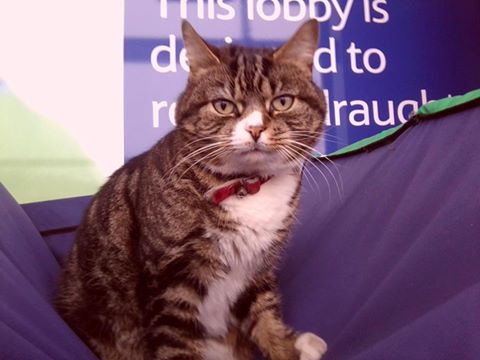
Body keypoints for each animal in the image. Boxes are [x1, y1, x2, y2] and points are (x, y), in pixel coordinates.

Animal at [54, 19, 328, 360]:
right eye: (223, 105)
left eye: (282, 102)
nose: (255, 128)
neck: (248, 187)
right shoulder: (170, 283)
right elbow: (176, 342)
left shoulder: (258, 269)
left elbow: (266, 319)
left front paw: (288, 346)